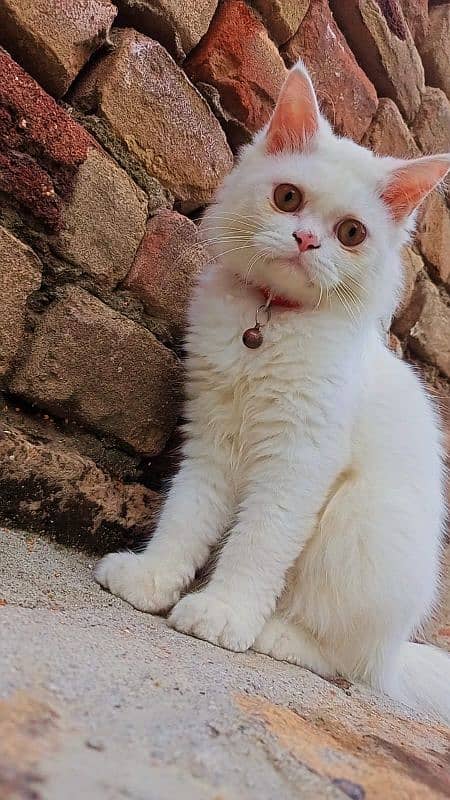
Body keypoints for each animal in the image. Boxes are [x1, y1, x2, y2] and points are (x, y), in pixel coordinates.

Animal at [95, 62, 450, 724]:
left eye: (352, 233)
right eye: (288, 198)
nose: (307, 240)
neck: (268, 325)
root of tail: (396, 649)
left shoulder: (298, 460)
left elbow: (258, 543)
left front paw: (223, 612)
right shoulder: (210, 438)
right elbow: (186, 516)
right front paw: (153, 579)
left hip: (358, 524)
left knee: (346, 661)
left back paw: (274, 633)